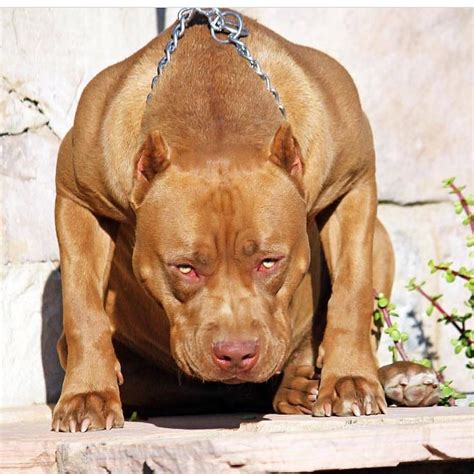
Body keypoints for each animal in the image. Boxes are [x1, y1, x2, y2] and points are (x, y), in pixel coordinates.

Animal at [51, 11, 440, 434]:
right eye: (184, 268)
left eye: (269, 261)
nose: (236, 355)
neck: (213, 109)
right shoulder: (77, 199)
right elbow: (83, 307)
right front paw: (87, 394)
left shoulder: (355, 184)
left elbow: (352, 292)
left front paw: (350, 380)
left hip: (381, 240)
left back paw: (391, 379)